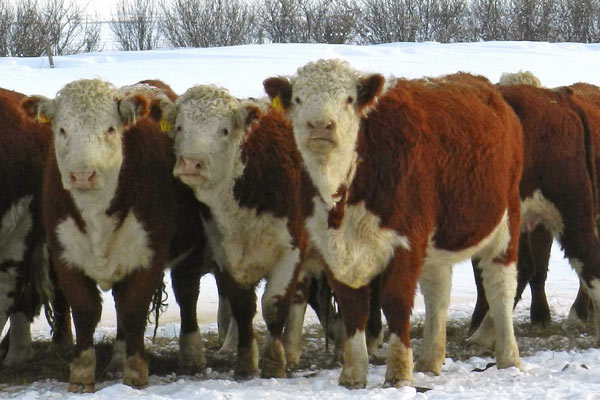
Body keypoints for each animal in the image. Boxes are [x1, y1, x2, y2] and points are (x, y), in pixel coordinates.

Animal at [22, 79, 211, 391]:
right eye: (62, 130)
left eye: (110, 129)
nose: (83, 175)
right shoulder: (65, 254)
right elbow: (85, 310)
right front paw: (82, 373)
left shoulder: (148, 255)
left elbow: (134, 310)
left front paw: (135, 373)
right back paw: (117, 359)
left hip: (189, 251)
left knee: (186, 295)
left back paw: (192, 353)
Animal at [264, 59, 523, 388]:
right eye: (298, 99)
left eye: (348, 99)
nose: (321, 125)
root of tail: (484, 86)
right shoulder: (331, 248)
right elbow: (353, 308)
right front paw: (353, 374)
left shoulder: (406, 241)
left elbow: (396, 303)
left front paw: (399, 373)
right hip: (435, 244)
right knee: (438, 293)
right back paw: (429, 361)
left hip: (505, 221)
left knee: (500, 286)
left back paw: (508, 357)